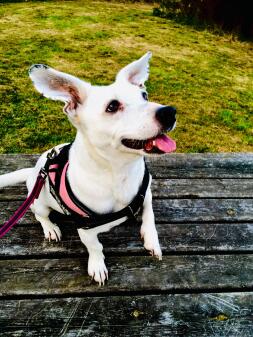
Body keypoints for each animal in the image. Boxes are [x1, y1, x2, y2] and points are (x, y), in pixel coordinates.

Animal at [0, 52, 176, 284]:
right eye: (112, 106)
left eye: (144, 95)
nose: (170, 112)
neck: (119, 171)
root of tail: (34, 172)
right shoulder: (85, 231)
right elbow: (95, 247)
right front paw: (97, 265)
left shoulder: (145, 193)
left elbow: (150, 215)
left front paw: (152, 241)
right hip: (39, 202)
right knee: (40, 215)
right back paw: (50, 228)